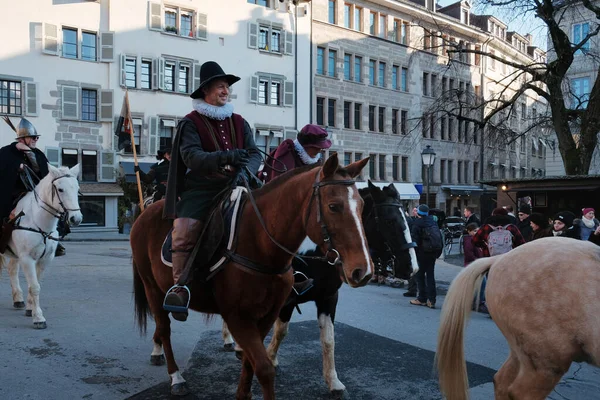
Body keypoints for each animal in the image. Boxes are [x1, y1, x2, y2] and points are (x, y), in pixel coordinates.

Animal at [0, 164, 82, 330]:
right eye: (60, 189)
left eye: (77, 189)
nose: (76, 219)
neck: (37, 221)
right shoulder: (27, 259)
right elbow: (34, 286)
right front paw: (38, 317)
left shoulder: (45, 260)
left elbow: (36, 284)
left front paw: (30, 308)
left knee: (12, 270)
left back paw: (18, 299)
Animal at [131, 154, 372, 396]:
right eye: (334, 206)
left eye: (362, 206)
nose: (364, 271)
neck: (260, 244)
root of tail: (146, 212)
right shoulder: (239, 316)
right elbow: (265, 366)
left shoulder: (283, 309)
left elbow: (261, 358)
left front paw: (333, 381)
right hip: (152, 287)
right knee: (164, 328)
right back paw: (175, 375)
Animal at [221, 181, 418, 396]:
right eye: (389, 221)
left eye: (407, 218)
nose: (412, 267)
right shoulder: (284, 299)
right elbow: (280, 330)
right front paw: (270, 357)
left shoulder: (328, 297)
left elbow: (328, 339)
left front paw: (333, 381)